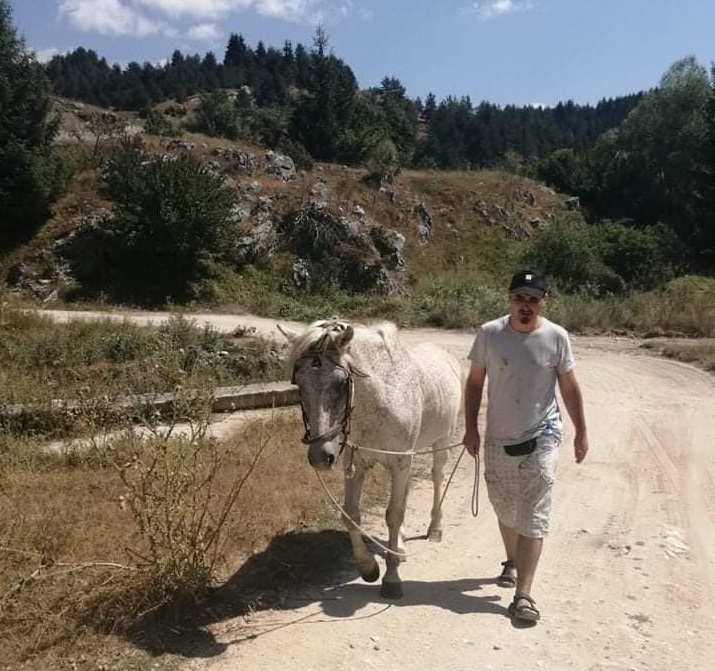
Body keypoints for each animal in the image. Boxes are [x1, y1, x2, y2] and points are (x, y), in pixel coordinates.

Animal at [276, 318, 462, 600]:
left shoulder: (400, 462)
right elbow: (352, 514)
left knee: (437, 477)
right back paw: (400, 547)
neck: (379, 400)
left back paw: (434, 529)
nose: (320, 456)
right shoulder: (356, 463)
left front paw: (392, 579)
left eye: (341, 383)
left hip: (441, 443)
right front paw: (369, 567)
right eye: (299, 383)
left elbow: (394, 515)